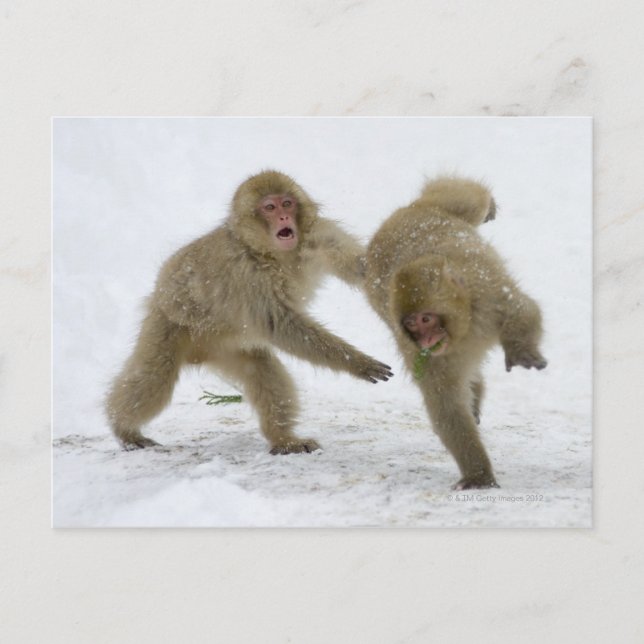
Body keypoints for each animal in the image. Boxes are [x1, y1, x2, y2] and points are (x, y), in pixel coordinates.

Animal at [106, 170, 393, 454]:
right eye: (270, 207)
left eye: (287, 203)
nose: (284, 217)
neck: (274, 254)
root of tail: (199, 355)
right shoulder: (247, 275)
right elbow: (281, 325)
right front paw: (357, 362)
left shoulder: (317, 234)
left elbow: (358, 267)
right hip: (169, 323)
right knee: (155, 377)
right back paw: (124, 429)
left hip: (227, 346)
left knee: (261, 367)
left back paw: (284, 439)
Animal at [365, 176, 547, 489]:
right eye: (412, 324)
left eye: (427, 318)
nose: (426, 338)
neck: (466, 328)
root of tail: (394, 218)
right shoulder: (421, 353)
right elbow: (446, 405)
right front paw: (478, 475)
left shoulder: (487, 295)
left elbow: (522, 309)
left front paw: (521, 350)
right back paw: (476, 390)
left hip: (445, 207)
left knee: (470, 198)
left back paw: (488, 204)